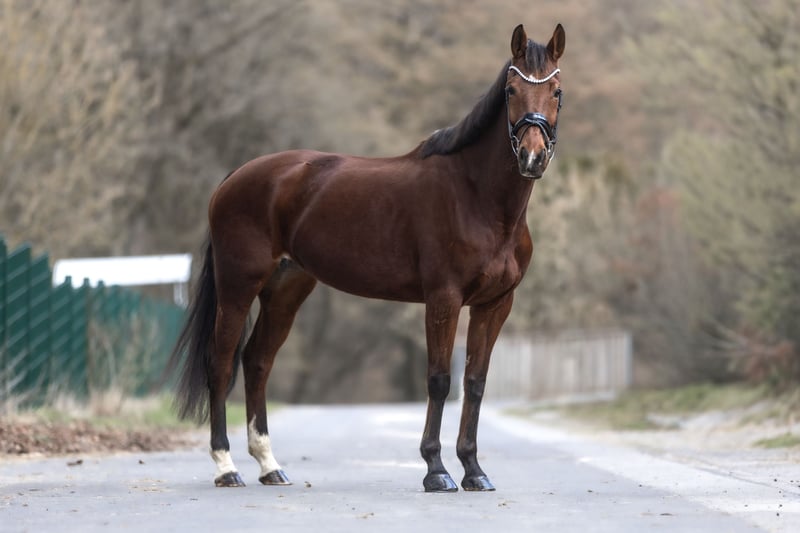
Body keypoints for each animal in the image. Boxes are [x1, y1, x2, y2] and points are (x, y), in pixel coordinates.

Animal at [170, 23, 565, 492]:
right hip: (237, 286)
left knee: (257, 361)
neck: (477, 198)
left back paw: (270, 466)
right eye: (510, 90)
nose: (531, 156)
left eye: (556, 91)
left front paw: (474, 471)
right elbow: (439, 380)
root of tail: (234, 177)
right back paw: (226, 467)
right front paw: (437, 471)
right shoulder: (443, 299)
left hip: (285, 291)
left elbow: (475, 382)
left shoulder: (495, 304)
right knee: (221, 362)